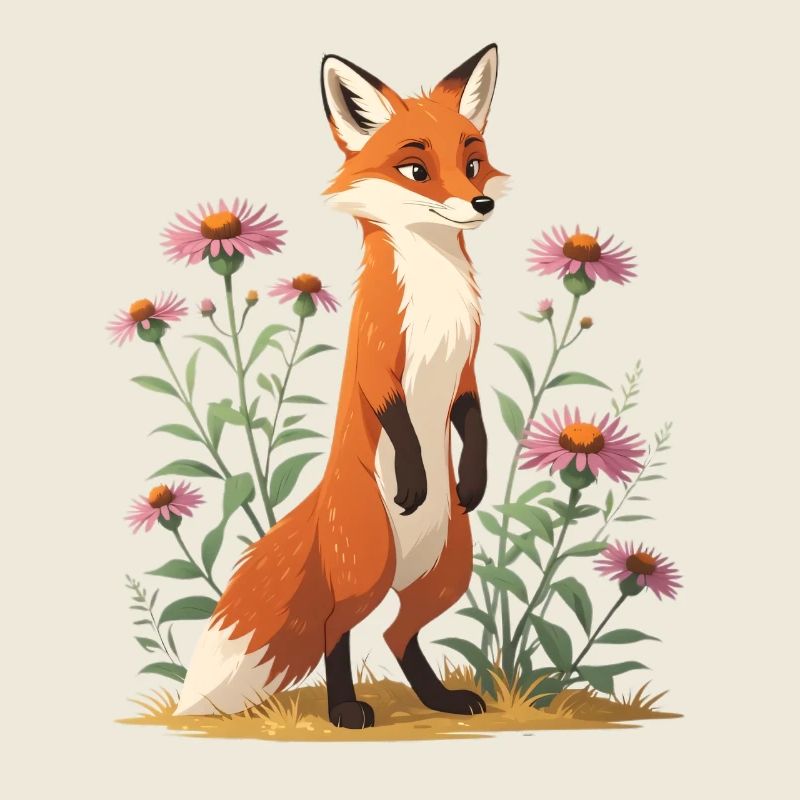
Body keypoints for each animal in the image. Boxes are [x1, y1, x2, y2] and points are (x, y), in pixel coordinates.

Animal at [175, 44, 508, 728]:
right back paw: (346, 708)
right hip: (371, 566)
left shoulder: (465, 369)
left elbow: (474, 422)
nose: (480, 205)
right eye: (416, 169)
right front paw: (414, 477)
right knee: (338, 628)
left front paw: (474, 479)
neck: (435, 294)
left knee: (397, 634)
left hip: (446, 575)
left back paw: (440, 699)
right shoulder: (379, 362)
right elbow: (399, 419)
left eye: (472, 163)